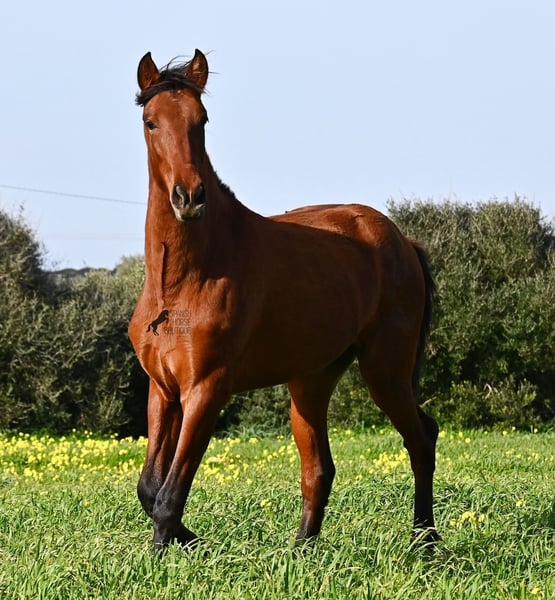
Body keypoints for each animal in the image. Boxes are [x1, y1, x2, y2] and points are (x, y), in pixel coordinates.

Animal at [128, 49, 440, 553]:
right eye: (151, 121)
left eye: (201, 119)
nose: (189, 197)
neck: (182, 282)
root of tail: (402, 241)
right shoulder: (163, 390)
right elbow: (150, 488)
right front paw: (195, 544)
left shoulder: (207, 390)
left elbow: (170, 495)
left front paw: (166, 555)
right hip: (311, 381)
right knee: (319, 469)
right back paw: (301, 552)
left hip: (385, 371)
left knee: (421, 439)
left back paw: (425, 542)